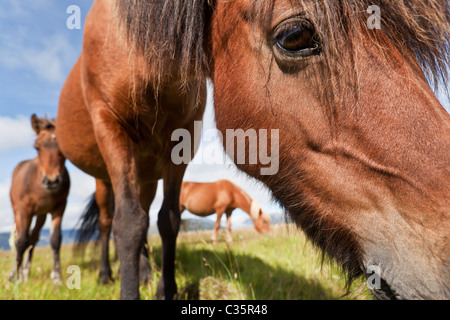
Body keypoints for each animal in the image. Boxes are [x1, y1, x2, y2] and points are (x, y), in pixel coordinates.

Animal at [9, 114, 69, 282]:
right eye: (37, 147)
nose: (51, 180)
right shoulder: (24, 210)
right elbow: (21, 241)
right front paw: (15, 278)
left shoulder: (59, 207)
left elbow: (55, 239)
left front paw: (57, 278)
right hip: (18, 212)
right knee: (21, 238)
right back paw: (17, 273)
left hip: (41, 214)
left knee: (33, 238)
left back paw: (25, 272)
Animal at [54, 0, 448, 300]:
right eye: (295, 36)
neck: (135, 49)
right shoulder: (109, 126)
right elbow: (129, 224)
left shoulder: (180, 144)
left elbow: (167, 221)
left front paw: (165, 289)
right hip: (107, 173)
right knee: (111, 221)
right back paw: (106, 274)